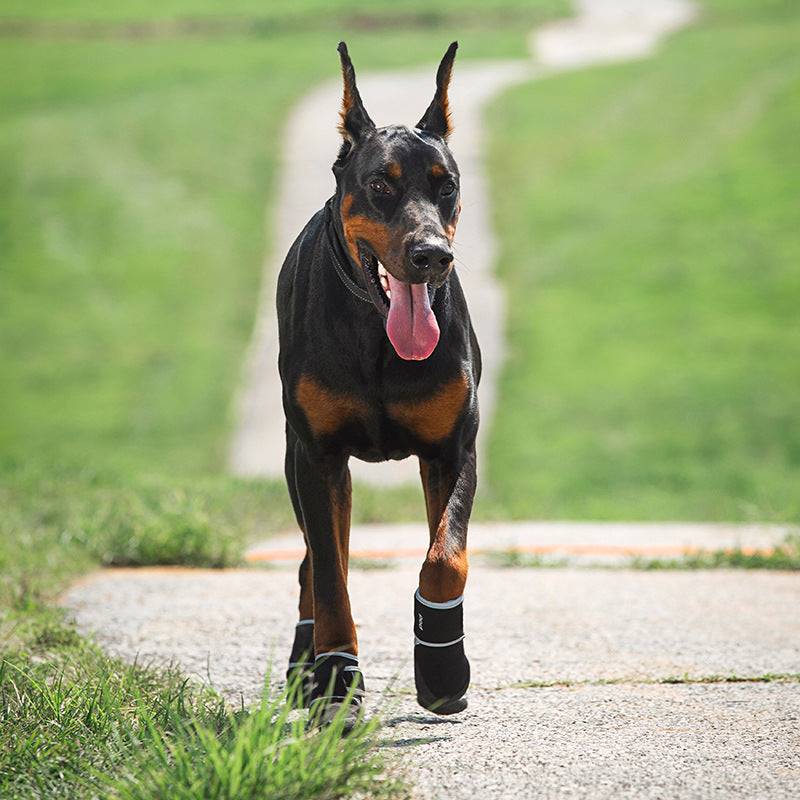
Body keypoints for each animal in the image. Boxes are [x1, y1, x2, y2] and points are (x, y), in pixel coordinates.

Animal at [278, 39, 478, 724]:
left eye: (447, 186)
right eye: (379, 186)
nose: (431, 255)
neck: (375, 335)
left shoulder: (453, 446)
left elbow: (445, 558)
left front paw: (442, 665)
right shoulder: (316, 455)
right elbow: (332, 576)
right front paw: (337, 679)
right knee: (313, 559)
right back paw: (306, 666)